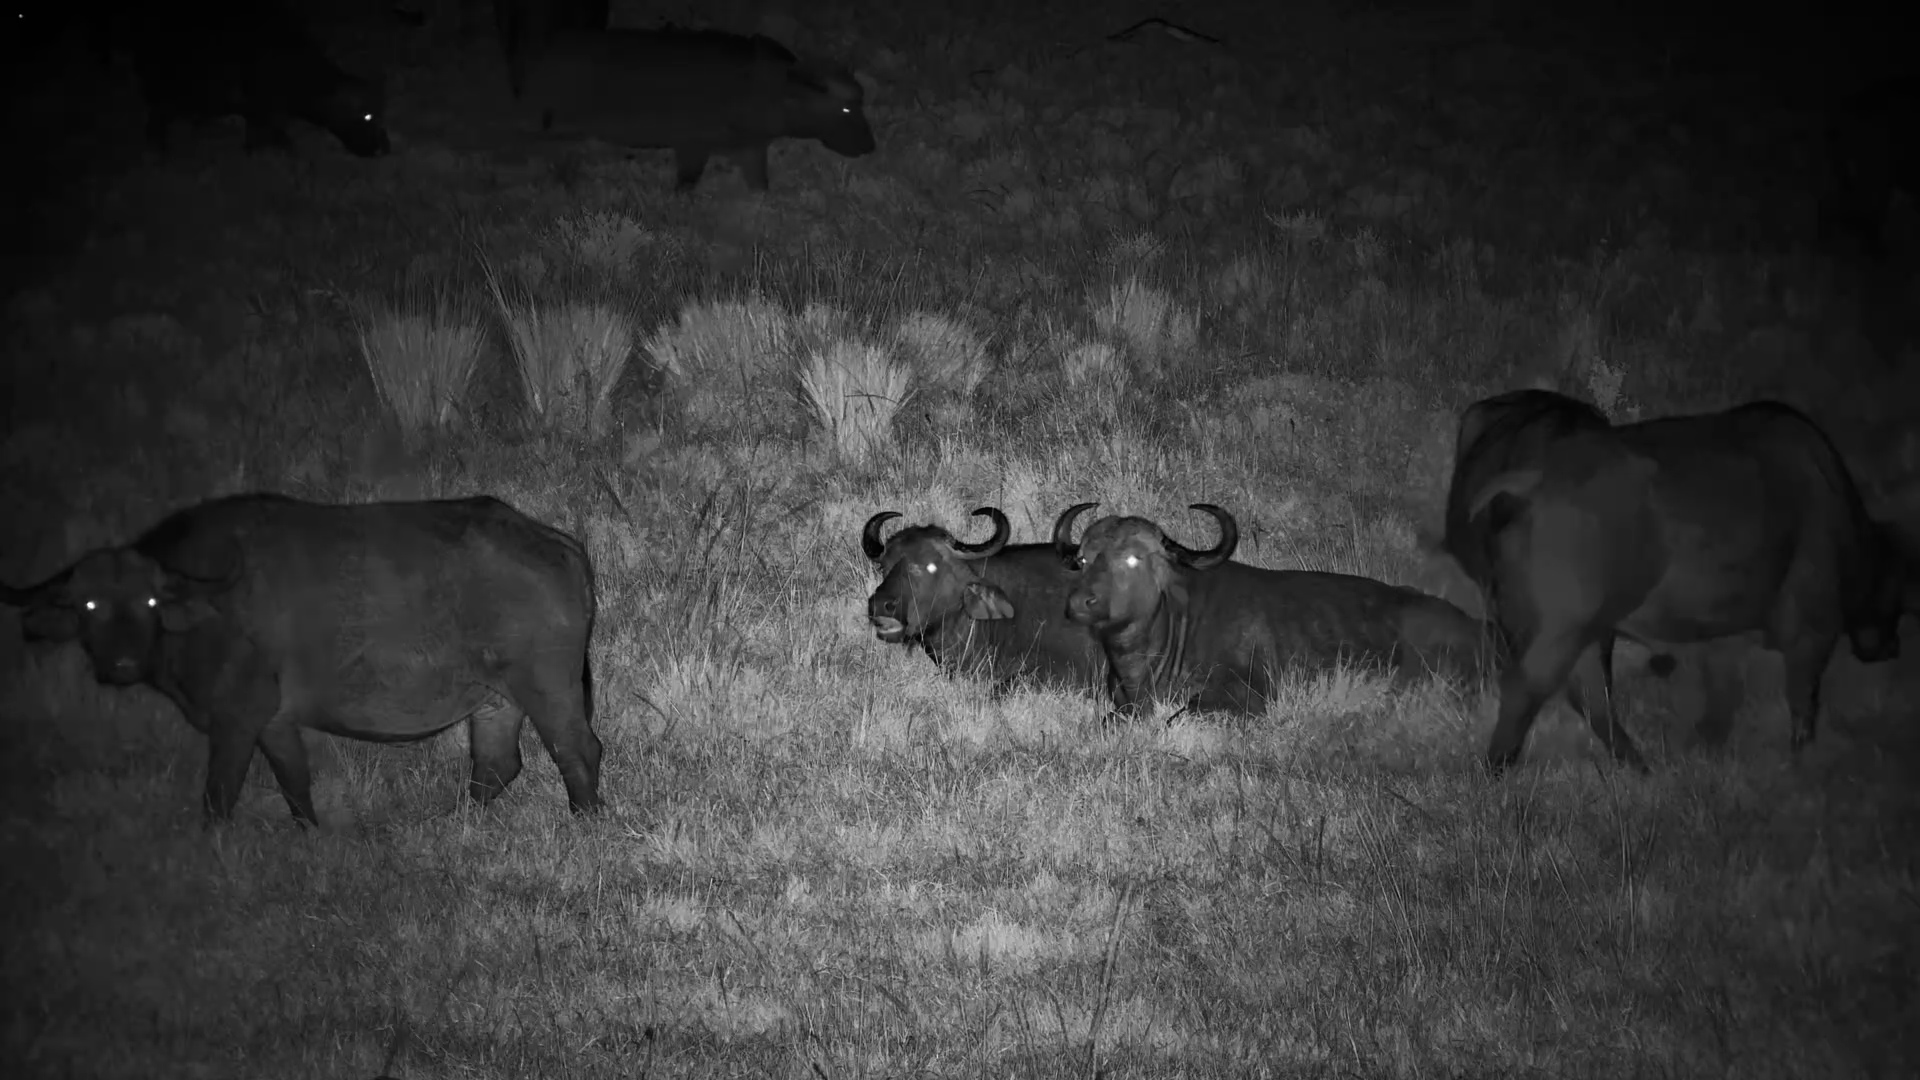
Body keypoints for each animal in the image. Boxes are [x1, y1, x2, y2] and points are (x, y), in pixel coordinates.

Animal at [2, 494, 603, 825]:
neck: (204, 610)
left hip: (546, 686)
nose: (122, 664)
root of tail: (559, 543)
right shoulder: (273, 720)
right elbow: (294, 781)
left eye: (149, 601)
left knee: (577, 750)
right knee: (496, 764)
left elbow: (219, 797)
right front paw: (309, 834)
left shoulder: (237, 717)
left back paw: (587, 820)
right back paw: (455, 823)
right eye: (88, 605)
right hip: (496, 699)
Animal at [114, 0, 390, 158]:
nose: (383, 149)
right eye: (367, 116)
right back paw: (162, 154)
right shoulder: (258, 105)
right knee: (156, 120)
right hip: (163, 85)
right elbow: (271, 137)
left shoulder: (264, 106)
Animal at [521, 25, 875, 191]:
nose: (870, 146)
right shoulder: (693, 146)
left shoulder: (751, 148)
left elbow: (760, 186)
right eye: (846, 110)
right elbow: (686, 184)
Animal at [1461, 398, 1912, 774]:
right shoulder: (1813, 626)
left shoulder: (1721, 632)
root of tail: (1530, 482)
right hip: (1564, 625)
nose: (1893, 647)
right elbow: (1801, 698)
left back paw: (1641, 767)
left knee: (1591, 695)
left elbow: (1723, 691)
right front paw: (1800, 759)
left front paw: (1706, 746)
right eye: (1897, 592)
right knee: (1529, 687)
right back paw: (1495, 768)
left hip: (1582, 629)